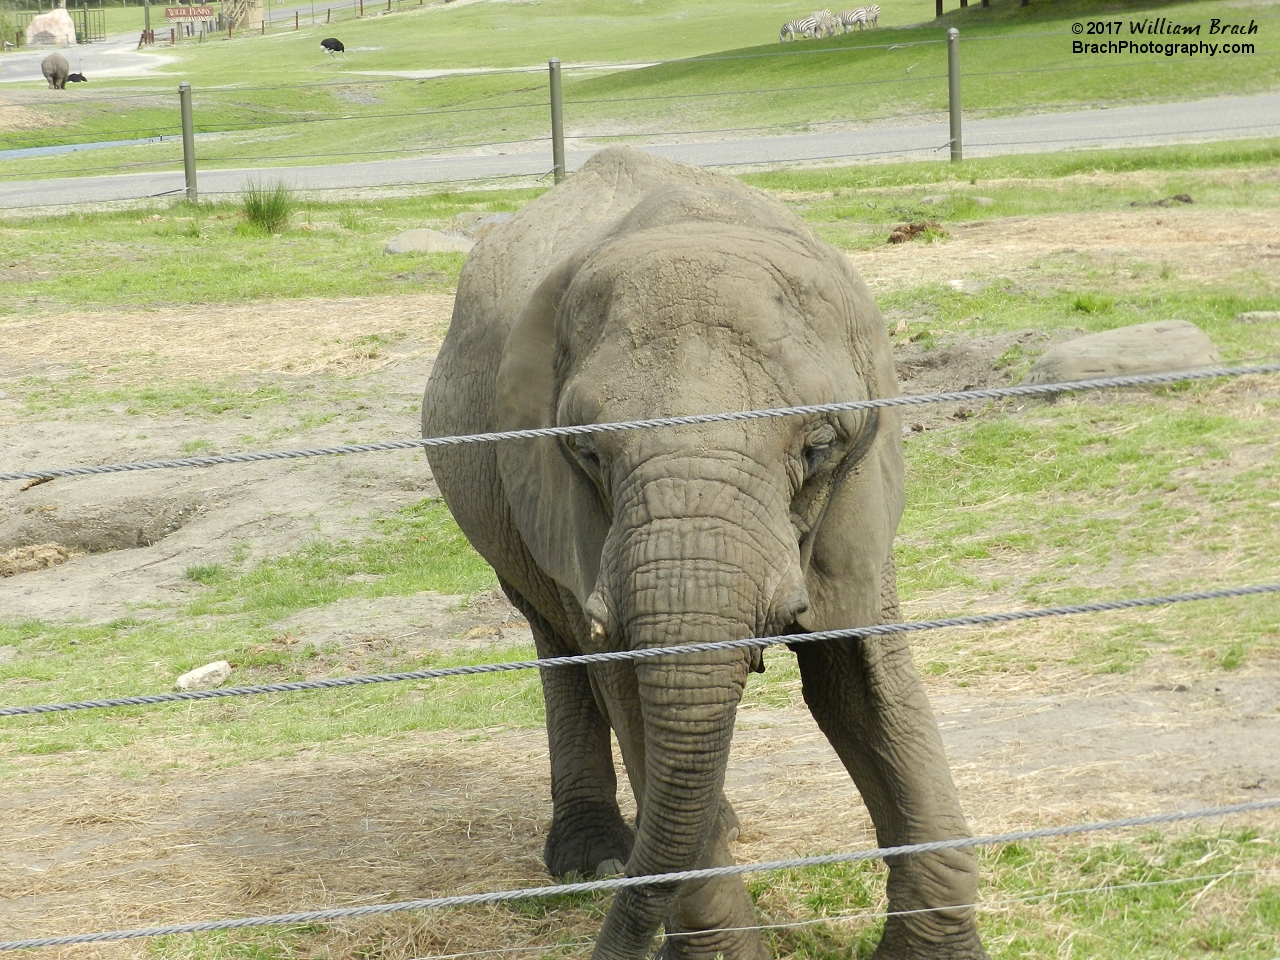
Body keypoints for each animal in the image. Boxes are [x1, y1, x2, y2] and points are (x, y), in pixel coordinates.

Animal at [419, 148, 977, 960]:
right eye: (588, 452)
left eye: (818, 448)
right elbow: (627, 687)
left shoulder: (859, 504)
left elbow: (861, 680)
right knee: (557, 640)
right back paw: (597, 860)